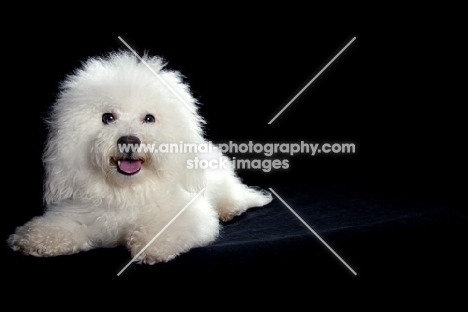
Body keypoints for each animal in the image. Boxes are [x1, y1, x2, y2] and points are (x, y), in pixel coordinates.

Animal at [7, 50, 272, 264]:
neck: (125, 190)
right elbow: (60, 227)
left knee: (235, 195)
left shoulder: (186, 214)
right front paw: (34, 239)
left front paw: (152, 247)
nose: (128, 141)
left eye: (149, 118)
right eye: (108, 117)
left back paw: (230, 209)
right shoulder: (79, 214)